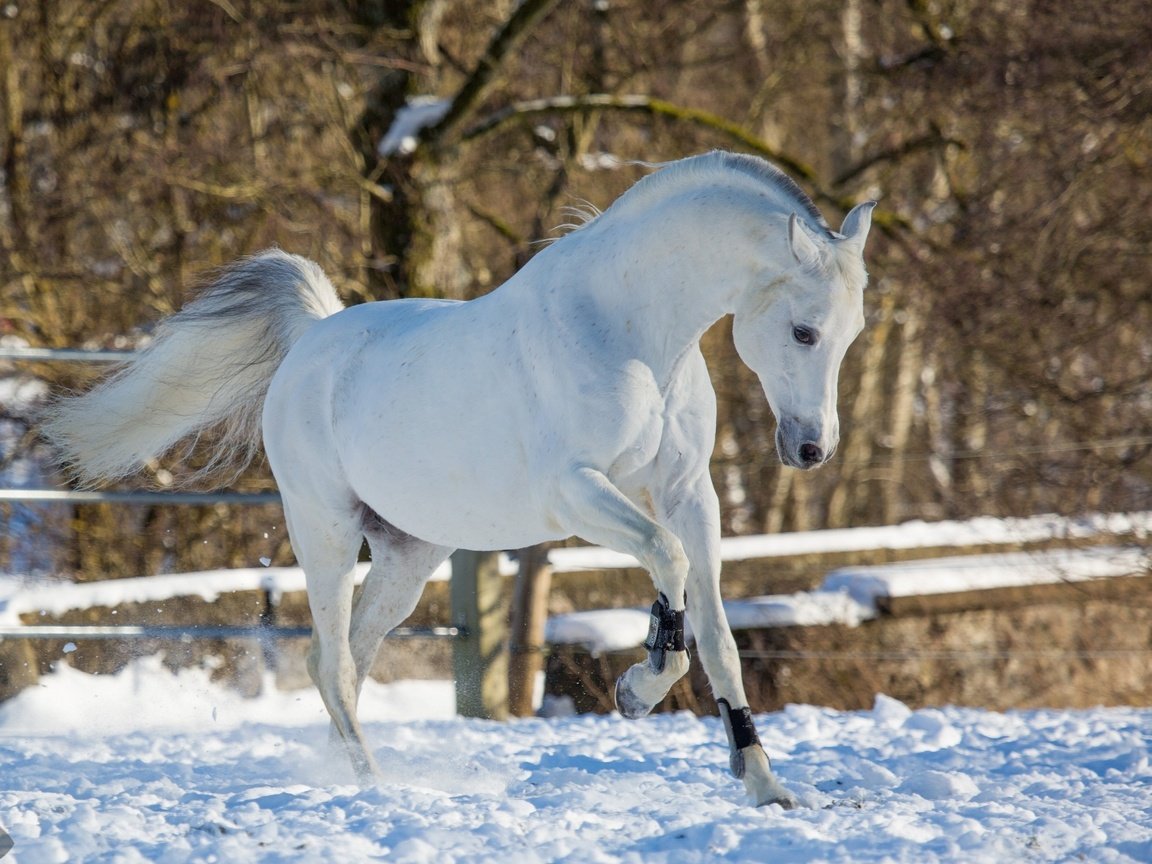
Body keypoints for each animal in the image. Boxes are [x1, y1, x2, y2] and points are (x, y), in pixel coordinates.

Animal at [42, 150, 870, 811]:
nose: (811, 448)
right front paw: (635, 691)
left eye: (852, 333)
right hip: (325, 533)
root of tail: (313, 338)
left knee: (343, 660)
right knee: (333, 661)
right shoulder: (577, 494)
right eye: (803, 330)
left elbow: (719, 636)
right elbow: (665, 566)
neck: (628, 333)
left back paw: (357, 773)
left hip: (408, 558)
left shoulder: (688, 496)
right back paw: (374, 785)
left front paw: (764, 784)